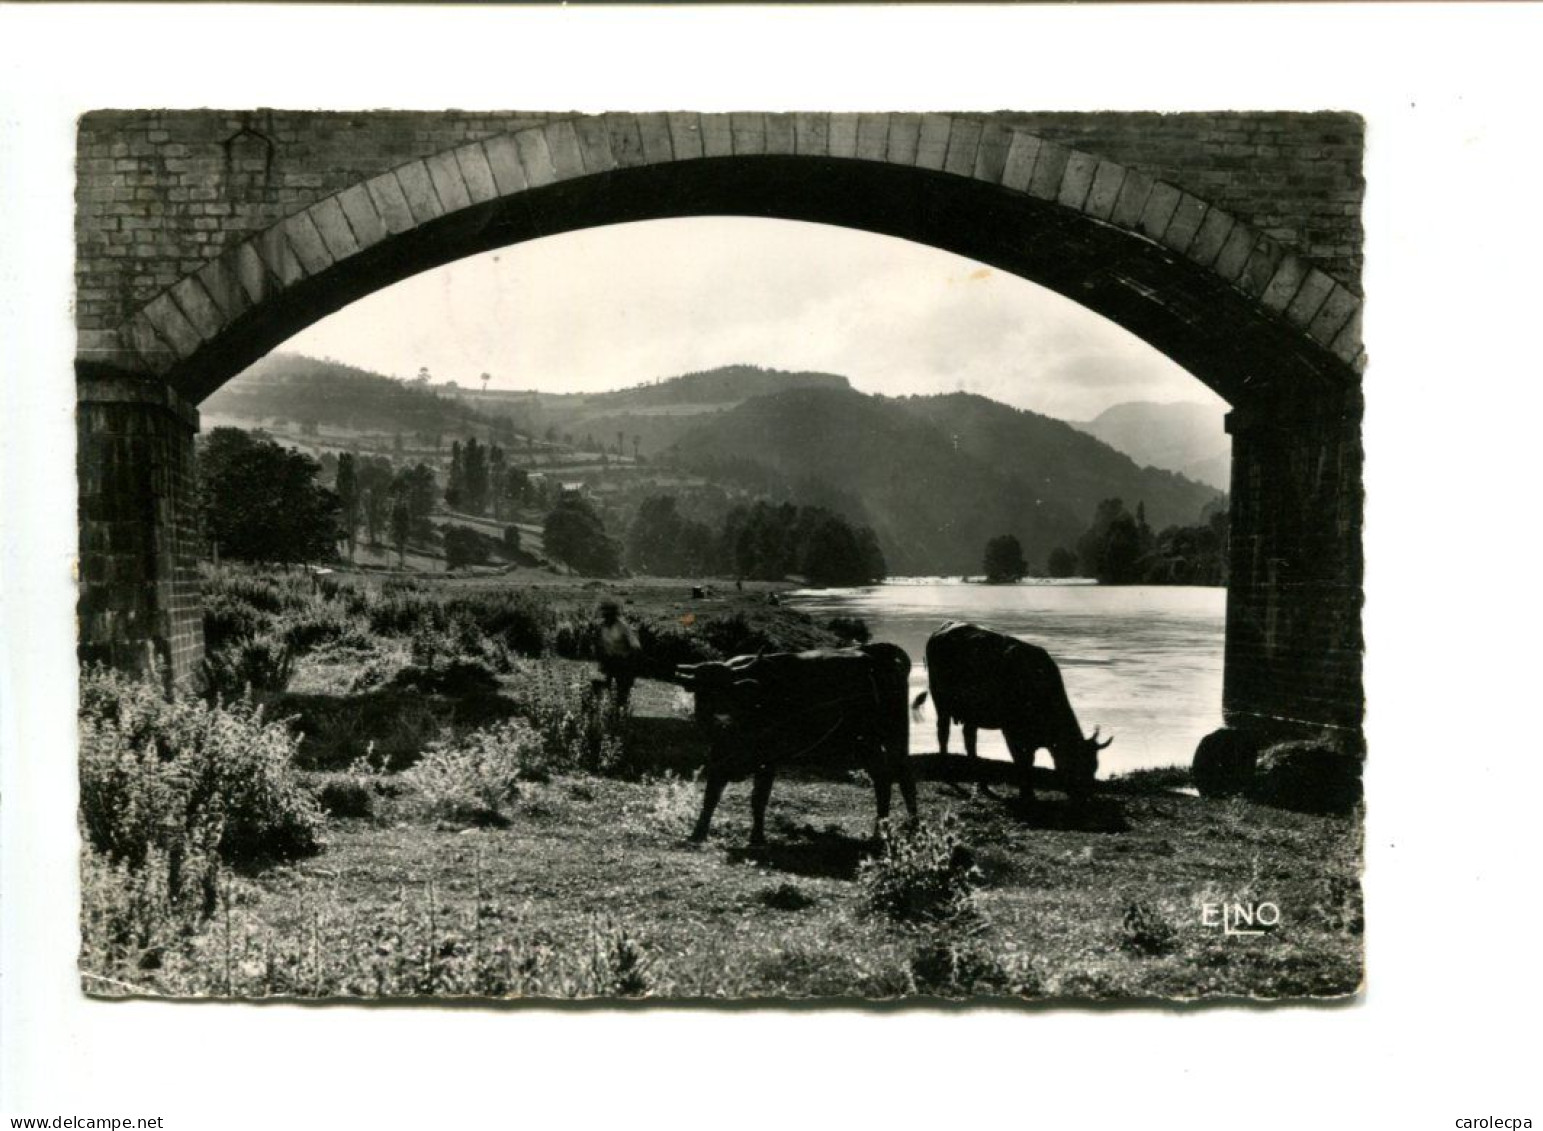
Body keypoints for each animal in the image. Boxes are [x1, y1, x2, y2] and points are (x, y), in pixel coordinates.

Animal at [675, 638, 913, 845]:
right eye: (702, 692)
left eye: (731, 692)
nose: (720, 720)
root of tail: (875, 651)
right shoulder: (719, 755)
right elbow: (711, 795)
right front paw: (698, 833)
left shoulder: (768, 759)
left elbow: (758, 798)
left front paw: (757, 837)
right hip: (869, 743)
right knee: (885, 778)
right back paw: (883, 831)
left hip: (889, 736)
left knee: (899, 777)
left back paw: (905, 827)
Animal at [907, 617, 1117, 802]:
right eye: (1076, 764)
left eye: (1094, 767)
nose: (1084, 796)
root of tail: (943, 628)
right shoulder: (1011, 730)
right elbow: (1020, 759)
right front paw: (1026, 793)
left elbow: (1029, 760)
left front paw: (1028, 791)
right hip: (941, 701)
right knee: (943, 733)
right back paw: (947, 772)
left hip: (971, 713)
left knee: (970, 739)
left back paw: (981, 782)